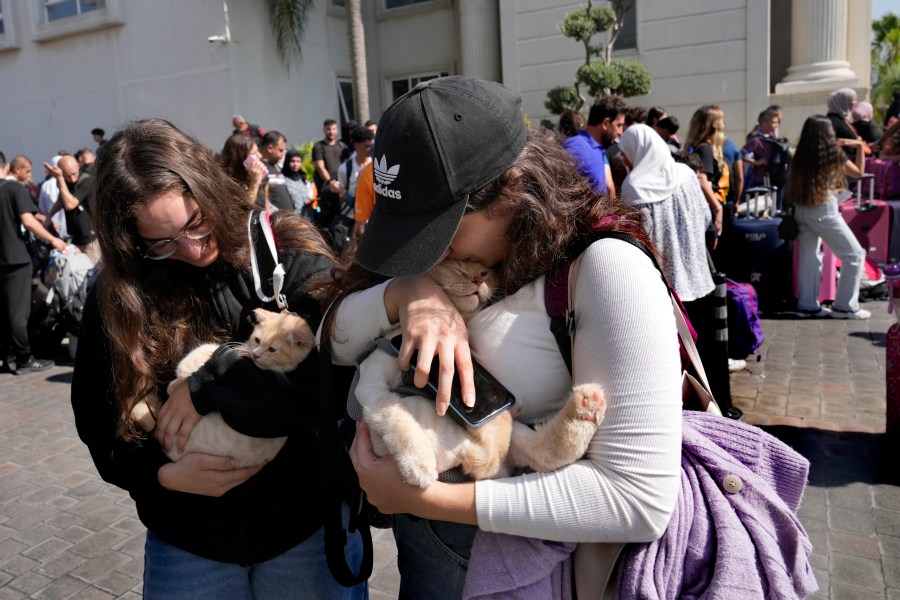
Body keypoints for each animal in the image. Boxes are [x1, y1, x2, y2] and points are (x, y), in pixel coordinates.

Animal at [352, 258, 604, 488]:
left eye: (484, 272)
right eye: (458, 269)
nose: (477, 280)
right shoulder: (372, 386)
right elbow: (396, 417)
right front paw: (418, 466)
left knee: (535, 451)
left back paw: (586, 407)